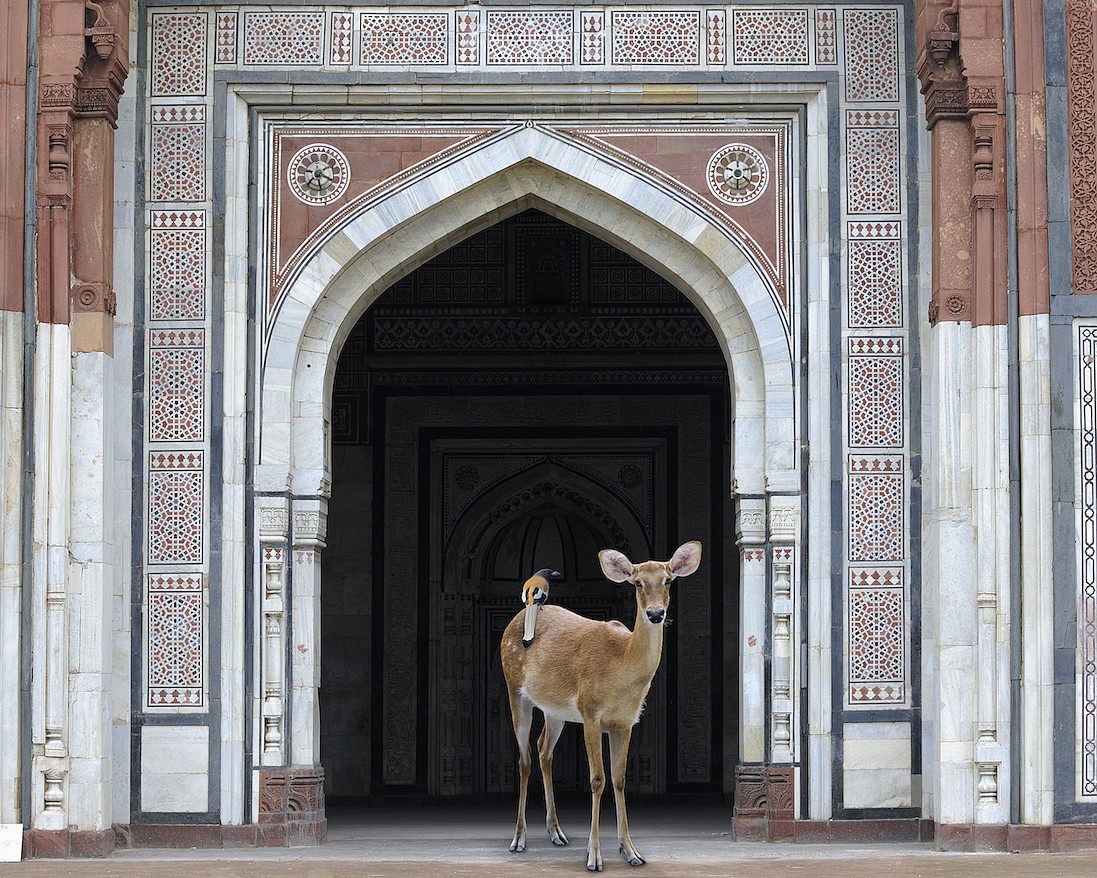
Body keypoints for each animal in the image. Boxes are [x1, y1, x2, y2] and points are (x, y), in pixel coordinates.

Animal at [500, 542, 702, 869]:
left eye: (668, 580)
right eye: (637, 583)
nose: (656, 613)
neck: (621, 668)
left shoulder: (625, 722)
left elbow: (619, 779)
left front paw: (631, 852)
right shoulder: (591, 712)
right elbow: (597, 779)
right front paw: (594, 857)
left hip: (556, 710)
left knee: (544, 750)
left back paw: (557, 832)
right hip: (514, 688)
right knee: (524, 758)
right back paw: (519, 839)